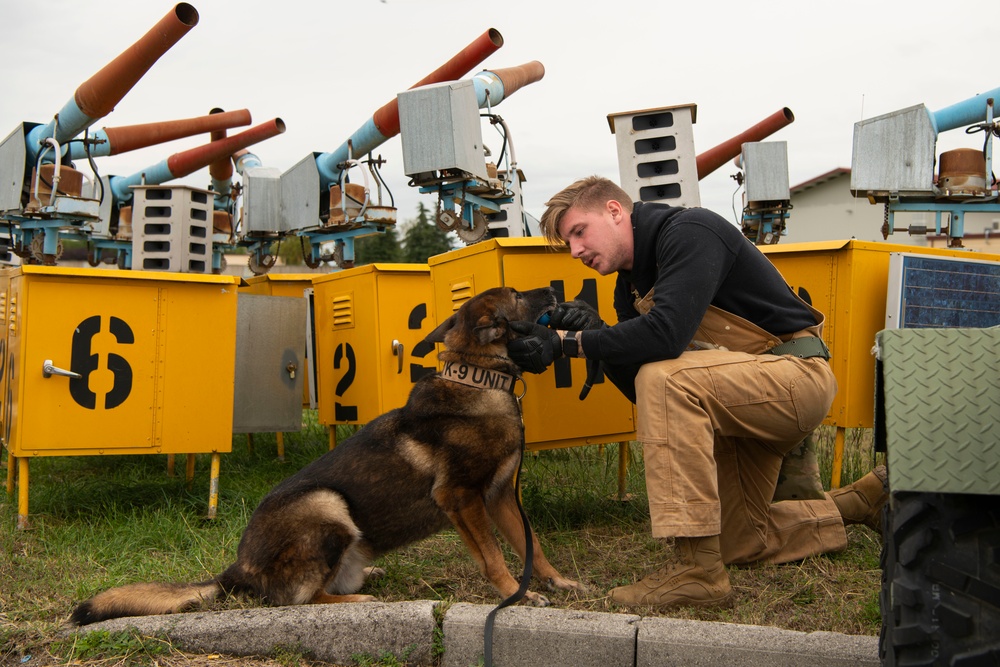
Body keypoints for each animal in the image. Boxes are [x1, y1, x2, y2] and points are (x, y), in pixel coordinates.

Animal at [70, 286, 584, 628]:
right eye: (517, 294)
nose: (554, 289)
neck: (478, 381)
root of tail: (237, 569)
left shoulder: (500, 498)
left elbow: (532, 547)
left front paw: (554, 584)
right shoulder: (462, 498)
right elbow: (495, 557)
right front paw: (513, 596)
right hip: (326, 504)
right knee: (298, 599)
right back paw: (359, 602)